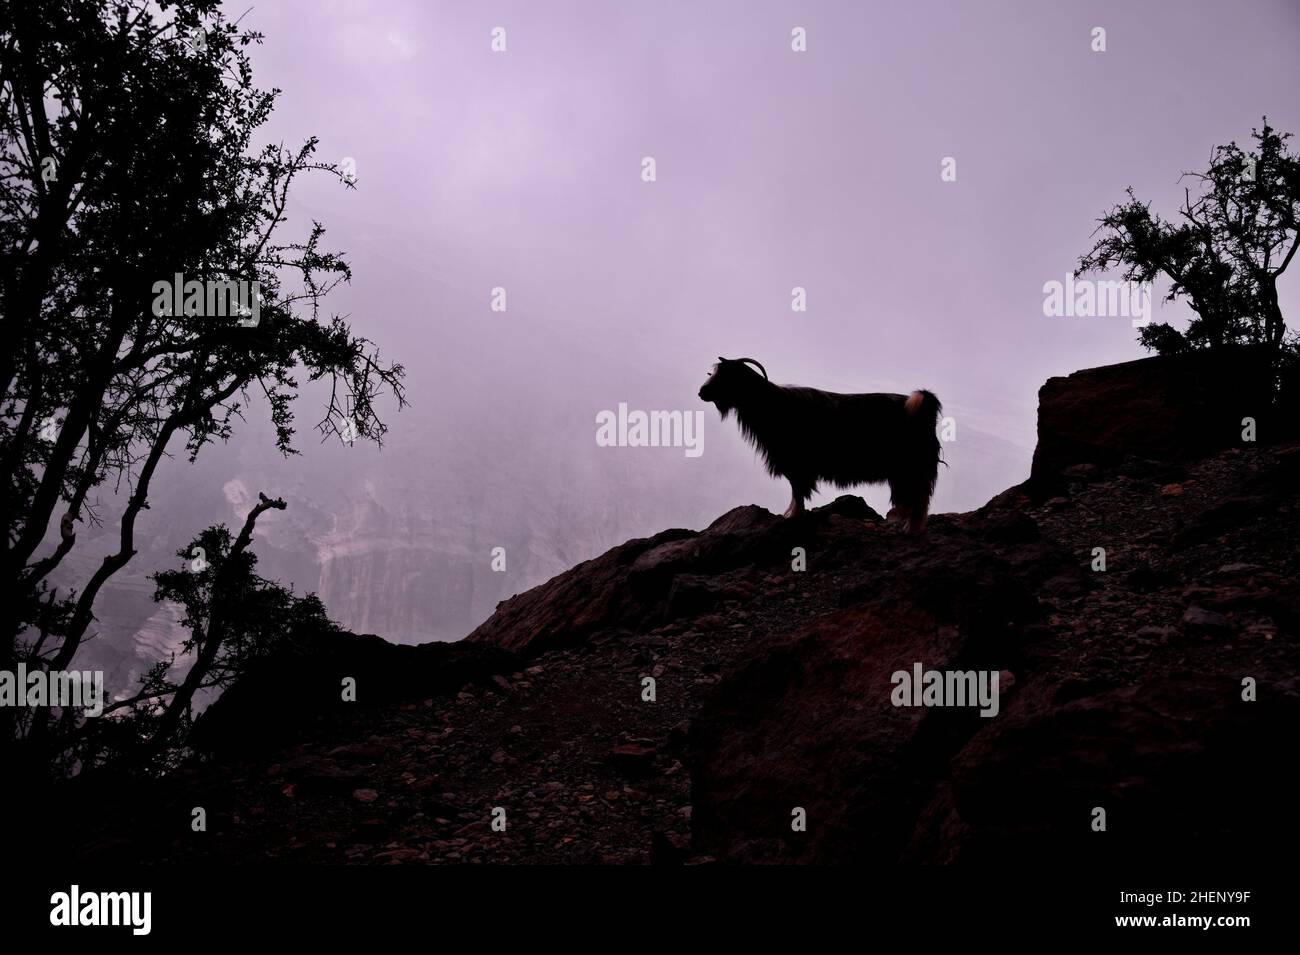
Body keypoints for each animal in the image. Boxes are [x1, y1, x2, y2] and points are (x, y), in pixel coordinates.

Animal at [698, 357, 942, 533]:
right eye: (712, 373)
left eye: (725, 376)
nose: (701, 392)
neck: (774, 405)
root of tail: (923, 408)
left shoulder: (797, 465)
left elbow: (798, 491)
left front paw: (793, 516)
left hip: (910, 469)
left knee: (919, 500)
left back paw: (911, 529)